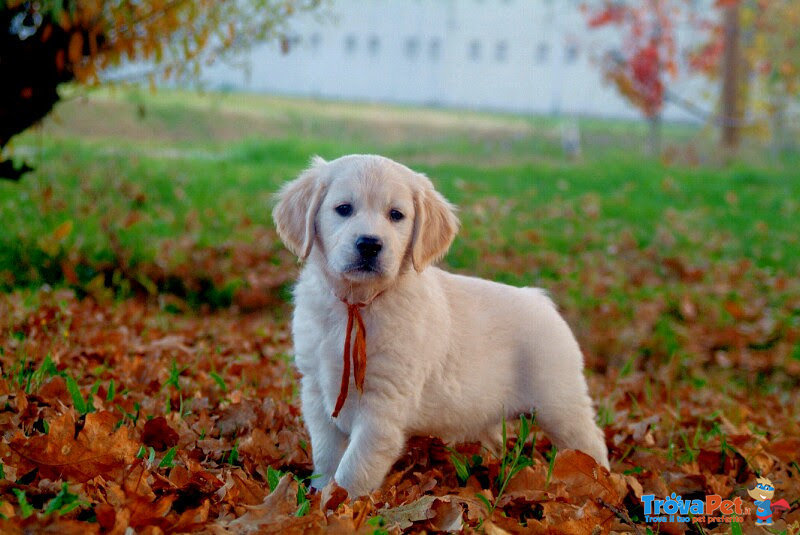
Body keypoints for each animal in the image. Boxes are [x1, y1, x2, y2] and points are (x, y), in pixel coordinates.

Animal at [272, 155, 608, 498]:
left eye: (396, 215)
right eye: (343, 209)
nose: (369, 244)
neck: (358, 303)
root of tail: (541, 300)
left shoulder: (383, 405)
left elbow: (355, 468)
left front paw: (338, 502)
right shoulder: (316, 391)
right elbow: (327, 456)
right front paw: (319, 495)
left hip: (559, 403)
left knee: (592, 441)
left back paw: (601, 484)